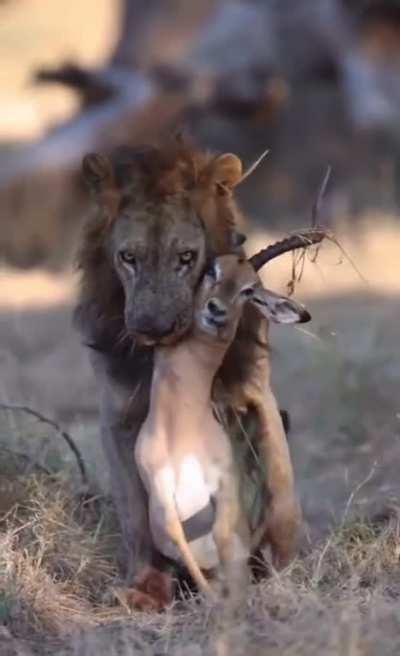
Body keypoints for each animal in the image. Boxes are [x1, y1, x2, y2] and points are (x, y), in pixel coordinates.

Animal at [134, 254, 310, 598]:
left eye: (249, 289)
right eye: (212, 270)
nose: (216, 310)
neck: (180, 430)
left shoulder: (224, 484)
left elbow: (224, 535)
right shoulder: (159, 489)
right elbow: (177, 534)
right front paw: (214, 597)